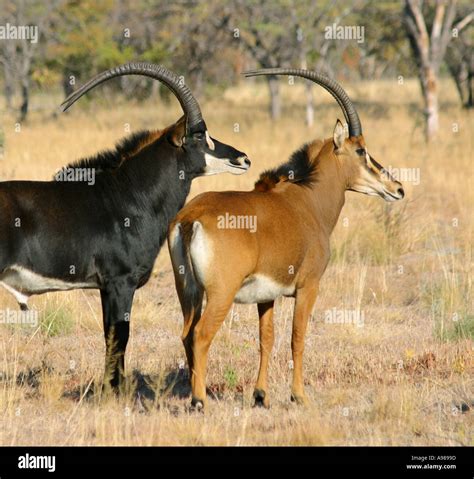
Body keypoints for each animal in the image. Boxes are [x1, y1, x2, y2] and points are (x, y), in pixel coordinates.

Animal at [0, 62, 252, 394]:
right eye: (199, 136)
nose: (243, 158)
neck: (127, 194)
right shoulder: (120, 283)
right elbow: (119, 336)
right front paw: (114, 392)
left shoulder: (106, 287)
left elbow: (111, 335)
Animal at [168, 69, 404, 410]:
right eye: (361, 150)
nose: (398, 188)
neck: (307, 199)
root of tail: (190, 218)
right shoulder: (308, 287)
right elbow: (297, 338)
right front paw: (298, 395)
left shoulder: (266, 295)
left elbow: (266, 339)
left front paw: (260, 395)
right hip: (221, 293)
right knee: (200, 336)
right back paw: (199, 400)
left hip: (188, 291)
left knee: (186, 334)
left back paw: (192, 393)